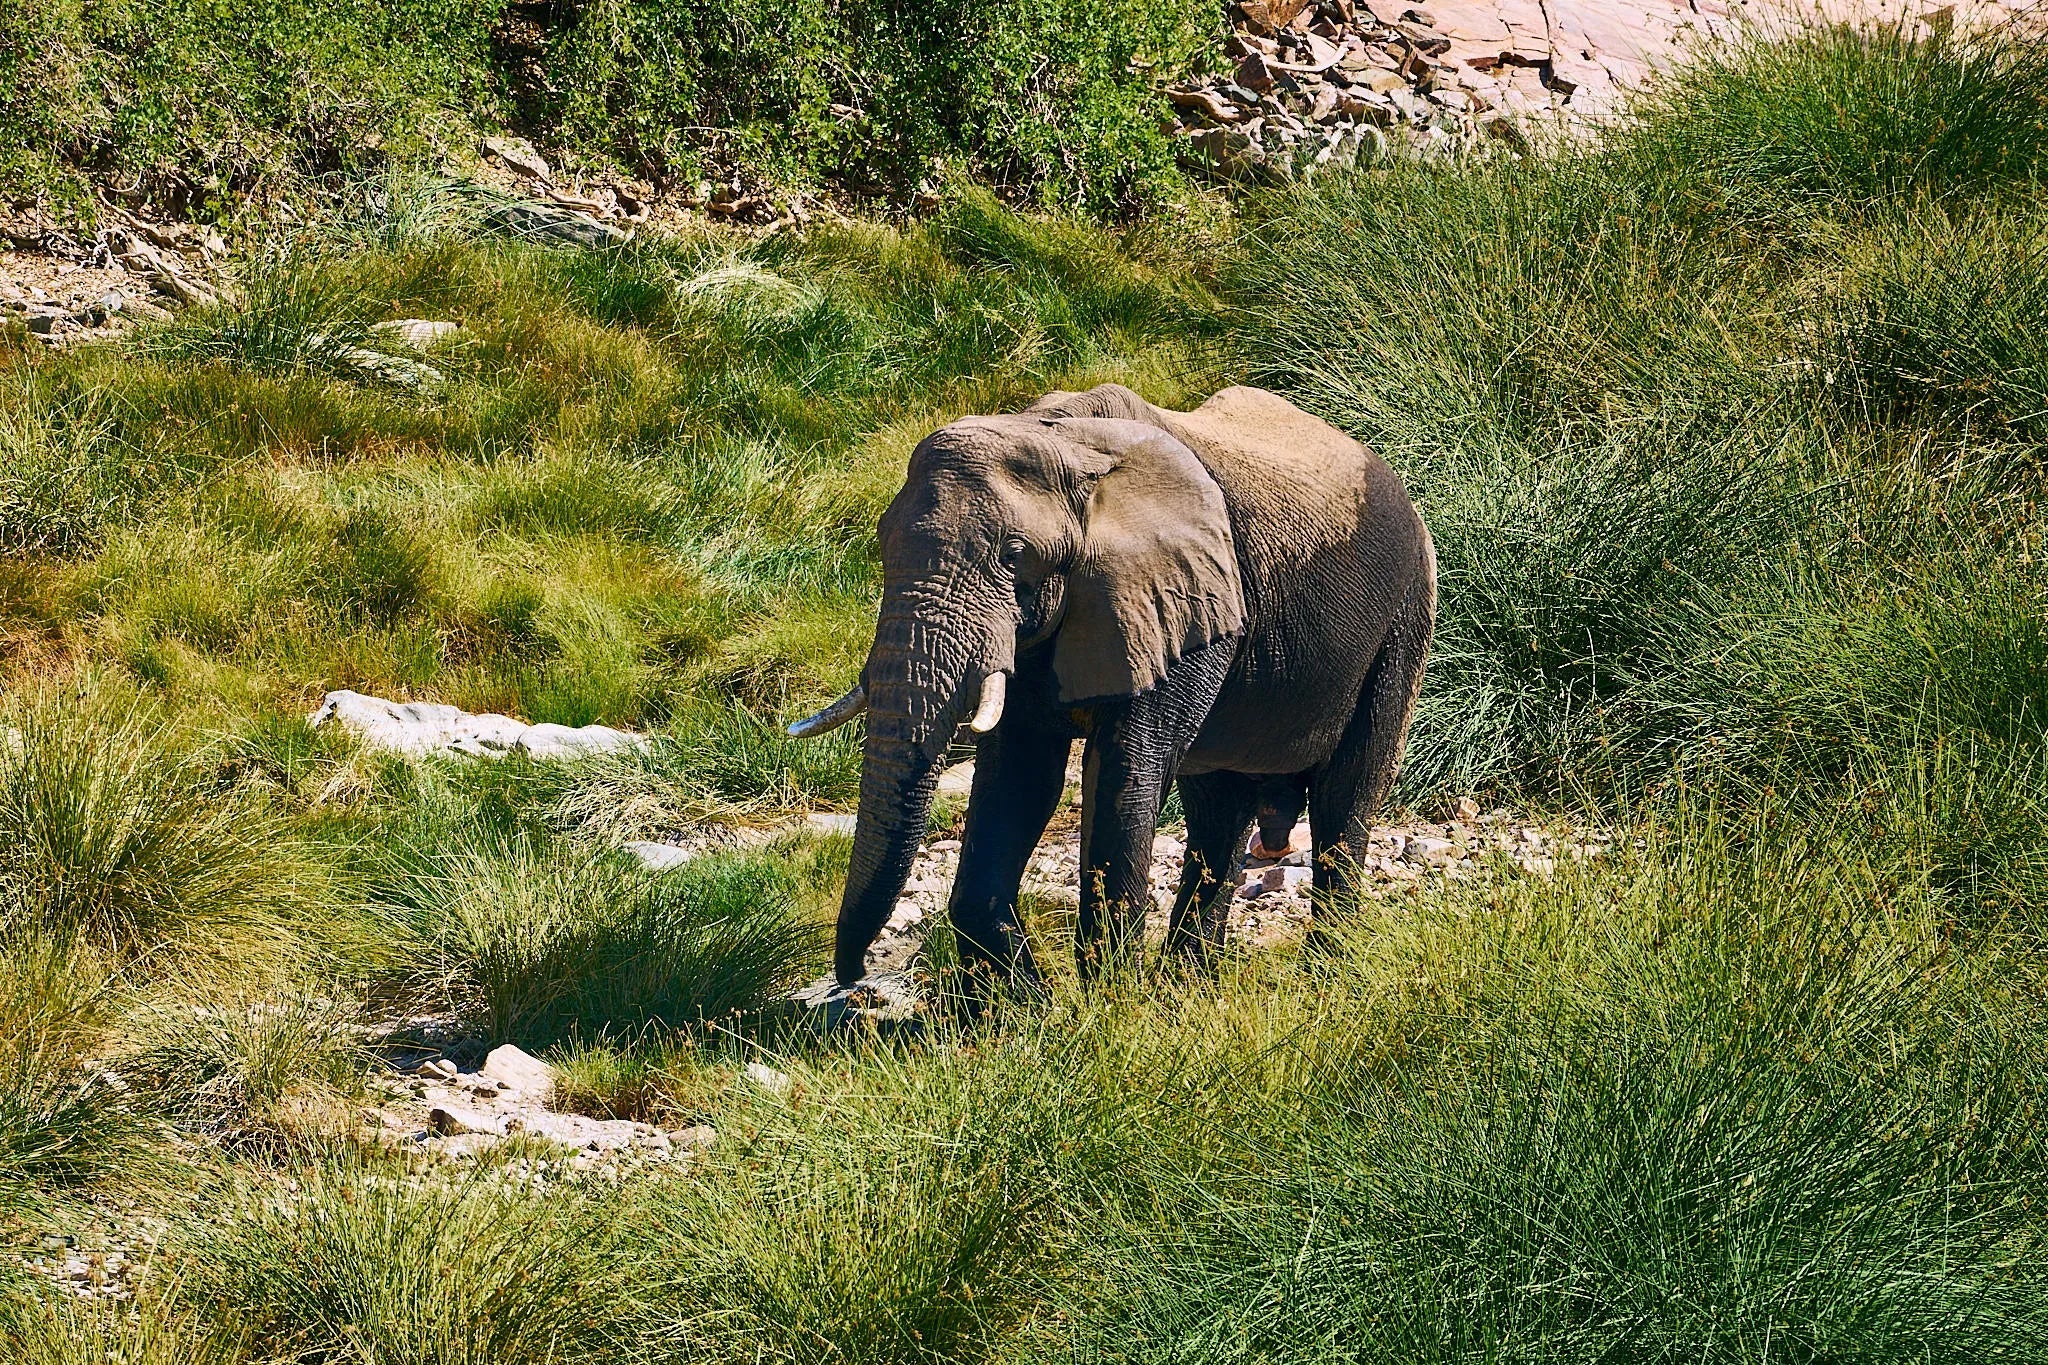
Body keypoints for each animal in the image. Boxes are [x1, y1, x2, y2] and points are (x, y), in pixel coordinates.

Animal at [789, 383, 1435, 992]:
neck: (1062, 440)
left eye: (1015, 555)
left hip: (1404, 618)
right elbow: (1021, 777)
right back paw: (1189, 986)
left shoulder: (1178, 600)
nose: (854, 976)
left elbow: (1125, 773)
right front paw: (1036, 1006)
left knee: (1344, 796)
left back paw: (1327, 974)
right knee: (1218, 813)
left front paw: (1109, 1007)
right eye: (882, 542)